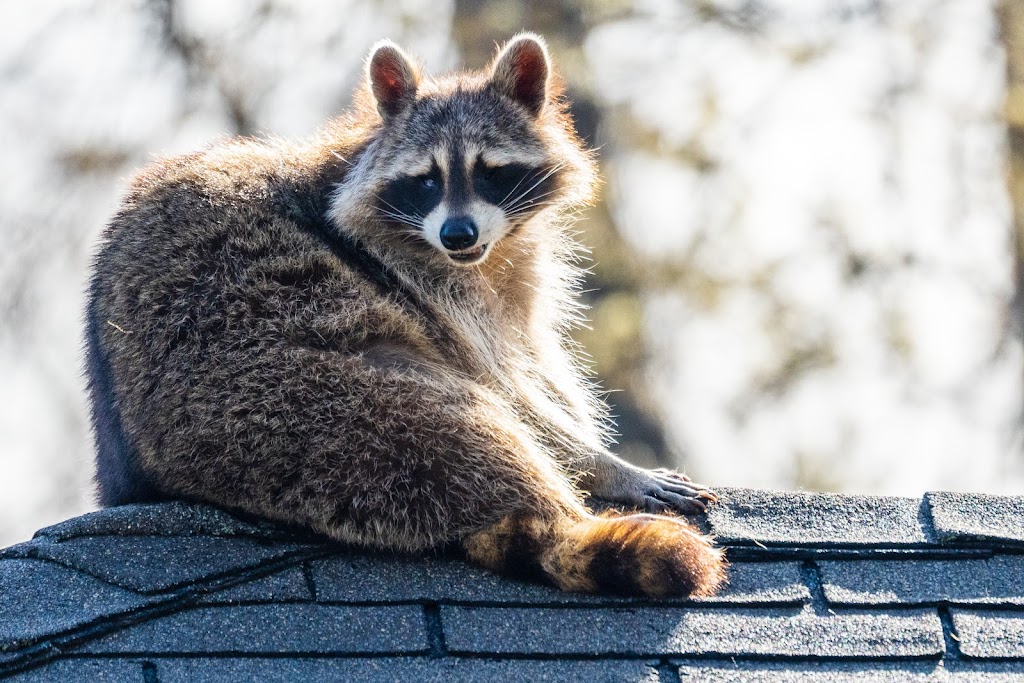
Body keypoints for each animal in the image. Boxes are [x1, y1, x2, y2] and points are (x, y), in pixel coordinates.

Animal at [88, 34, 729, 593]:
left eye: (490, 172)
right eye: (425, 180)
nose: (457, 233)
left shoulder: (511, 278)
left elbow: (540, 364)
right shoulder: (413, 281)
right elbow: (506, 386)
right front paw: (604, 463)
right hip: (310, 412)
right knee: (465, 413)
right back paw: (569, 518)